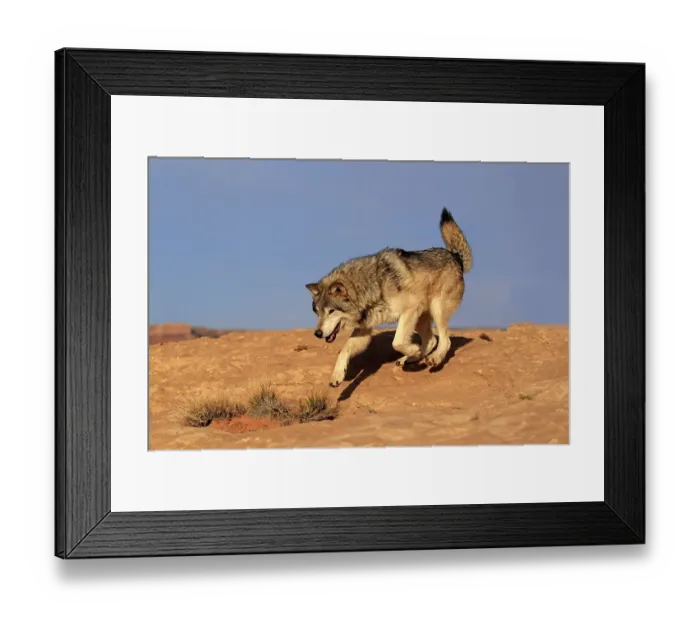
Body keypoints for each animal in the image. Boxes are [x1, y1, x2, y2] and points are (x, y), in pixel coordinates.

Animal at [305, 208, 473, 387]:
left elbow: (396, 342)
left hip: (436, 309)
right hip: (421, 318)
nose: (317, 333)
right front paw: (337, 375)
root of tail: (456, 256)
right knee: (431, 340)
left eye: (331, 311)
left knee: (444, 340)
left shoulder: (409, 310)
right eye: (317, 312)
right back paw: (410, 359)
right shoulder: (365, 330)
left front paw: (413, 349)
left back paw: (433, 358)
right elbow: (344, 350)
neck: (374, 285)